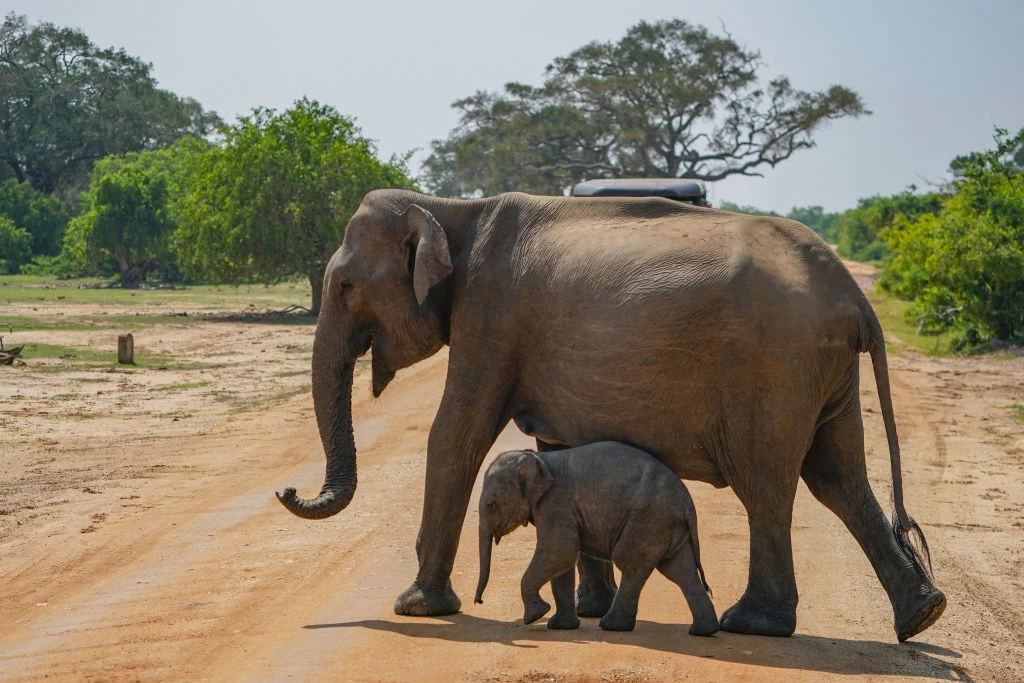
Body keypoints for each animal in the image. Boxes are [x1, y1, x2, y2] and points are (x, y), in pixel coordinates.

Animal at [475, 440, 716, 638]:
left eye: (492, 505)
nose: (479, 601)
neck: (537, 458)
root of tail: (688, 506)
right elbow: (561, 562)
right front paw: (559, 626)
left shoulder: (556, 502)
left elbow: (560, 551)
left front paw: (535, 616)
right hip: (667, 525)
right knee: (680, 570)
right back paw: (703, 631)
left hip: (649, 519)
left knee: (631, 564)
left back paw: (611, 626)